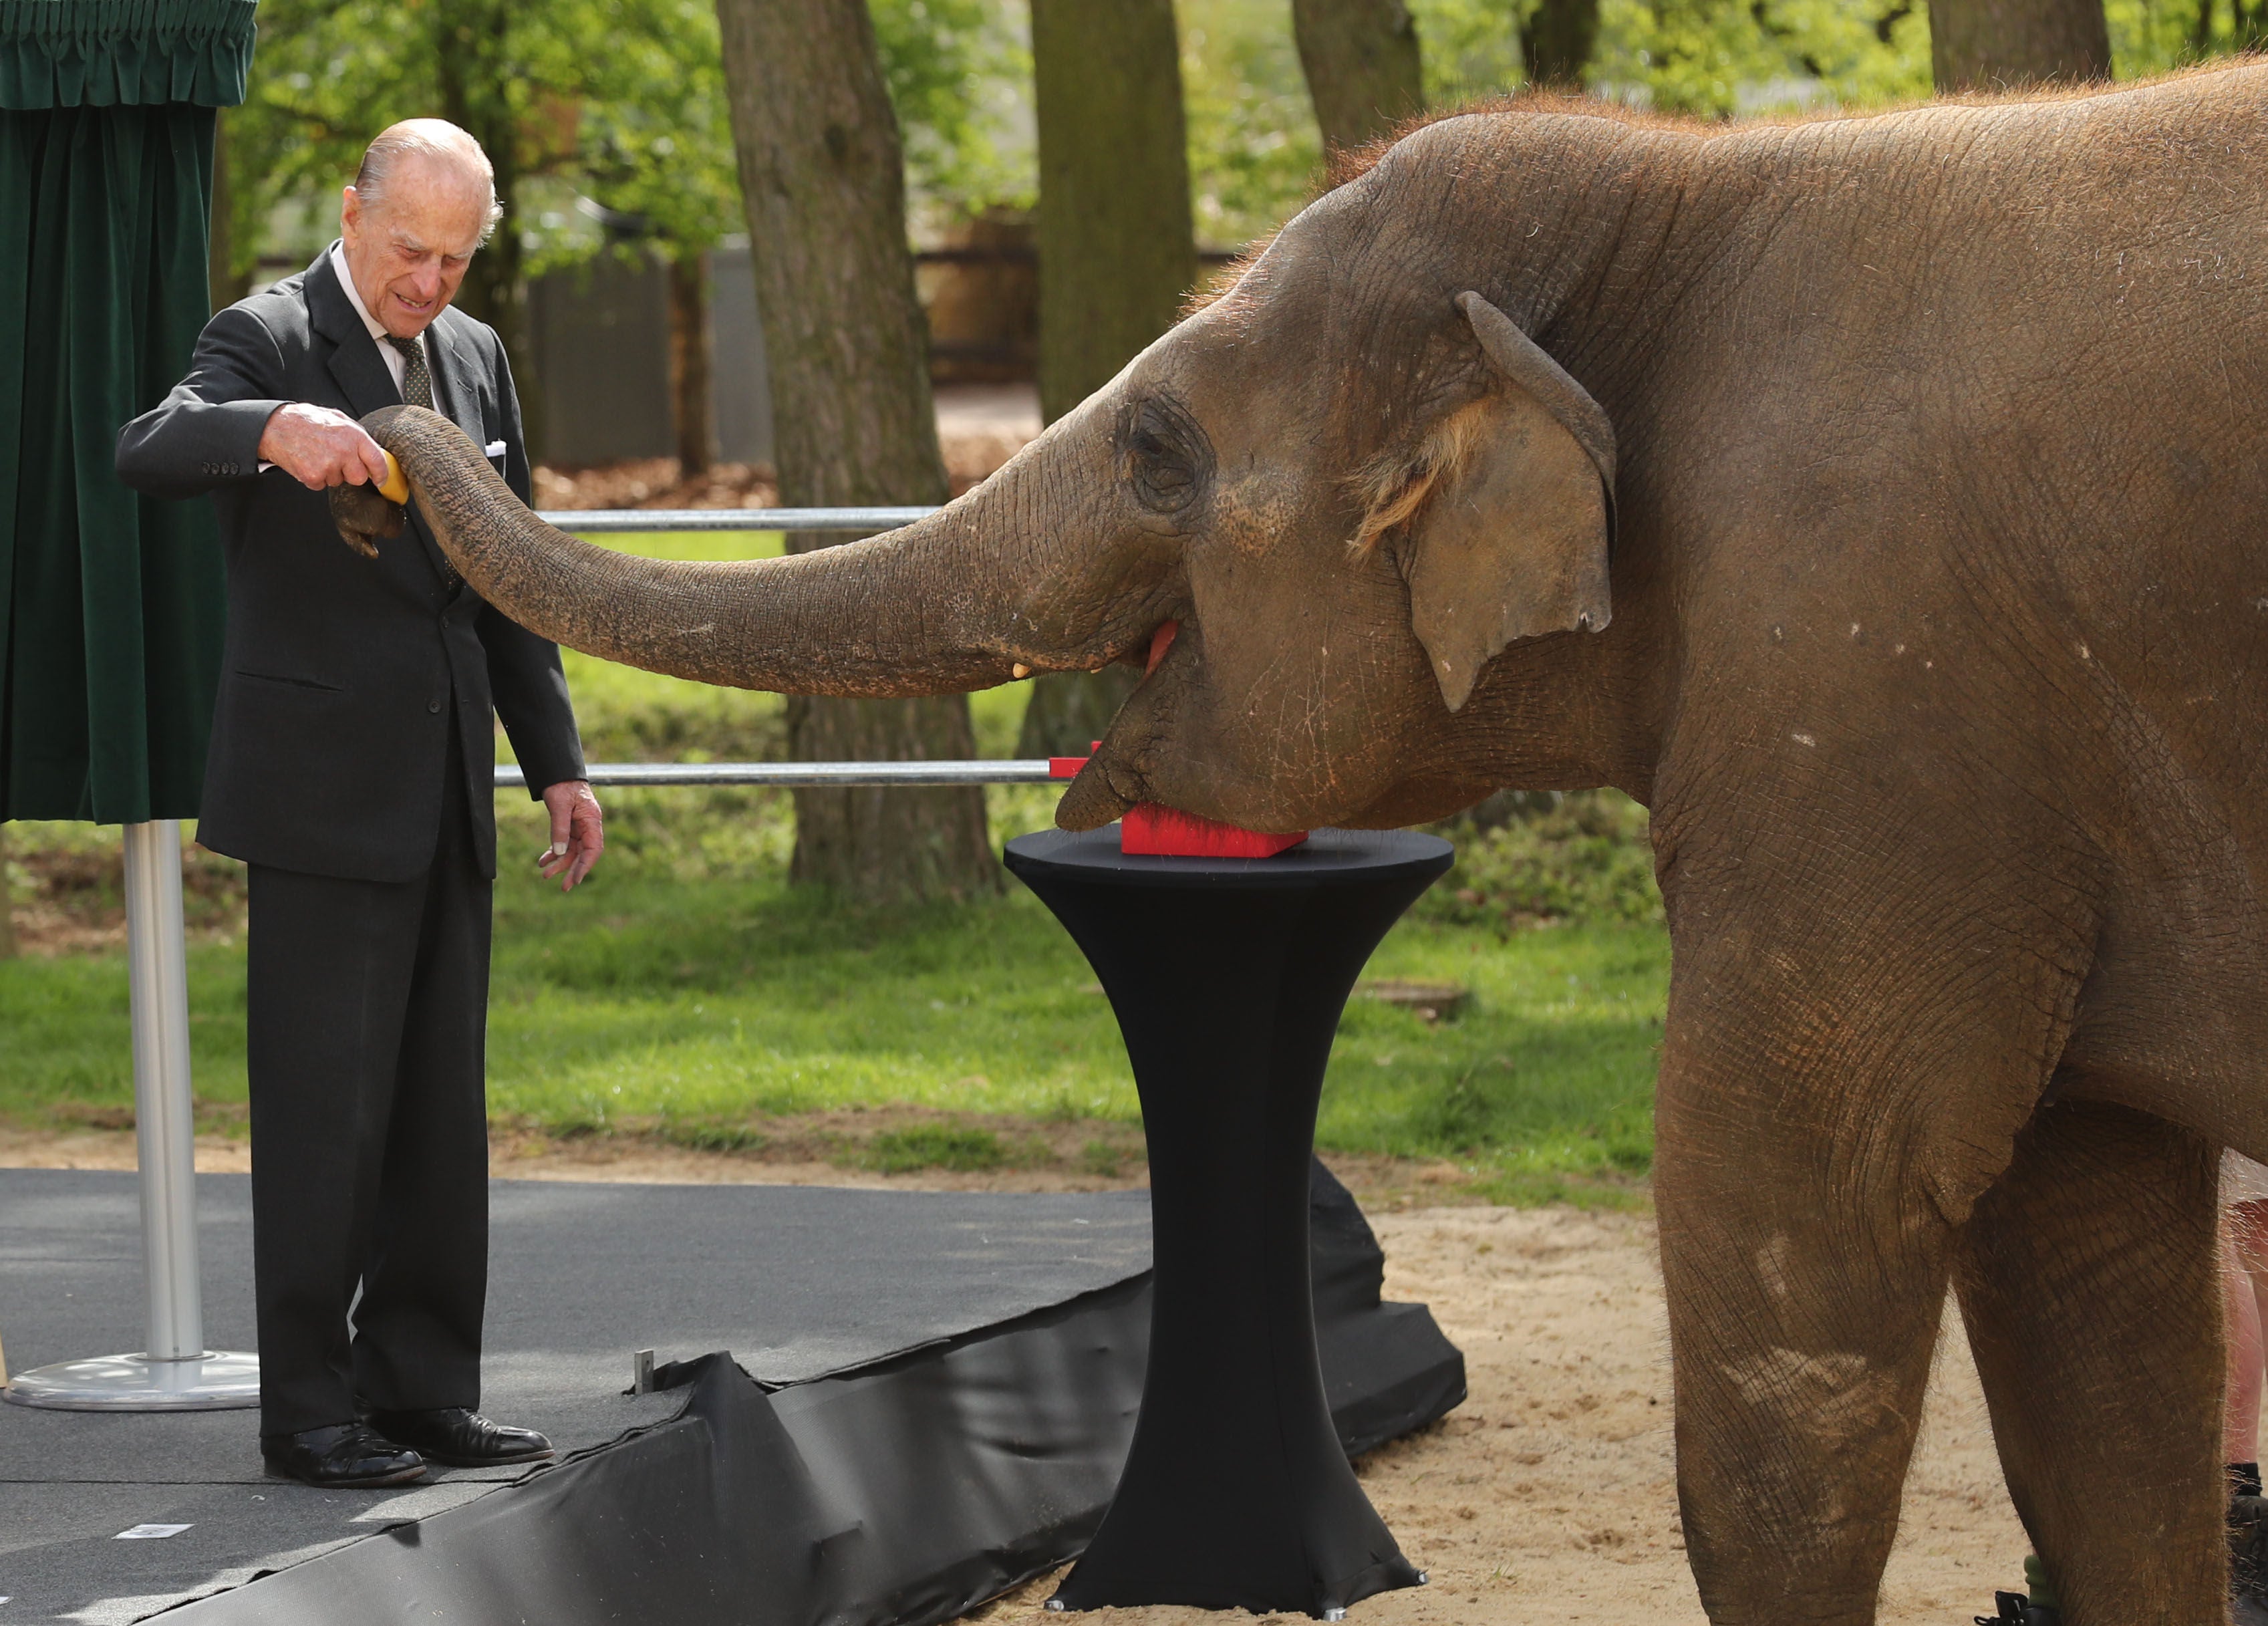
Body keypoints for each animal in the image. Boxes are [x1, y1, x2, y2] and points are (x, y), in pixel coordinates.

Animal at [331, 66, 2268, 1623]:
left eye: (1157, 447)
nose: (378, 426)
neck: (1694, 187)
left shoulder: (1865, 699)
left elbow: (1803, 1243)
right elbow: (2093, 1310)